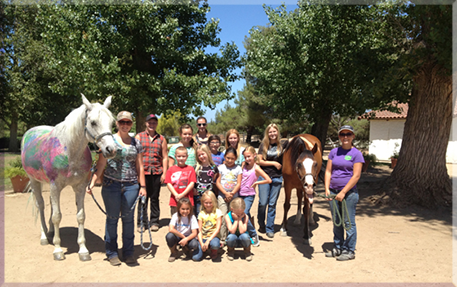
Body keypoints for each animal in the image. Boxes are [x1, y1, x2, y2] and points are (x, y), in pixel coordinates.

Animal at [21, 94, 117, 260]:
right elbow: (57, 216)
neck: (70, 153)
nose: (111, 149)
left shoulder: (80, 187)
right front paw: (58, 250)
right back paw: (44, 237)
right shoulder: (55, 186)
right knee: (40, 205)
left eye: (111, 122)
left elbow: (80, 216)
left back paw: (51, 232)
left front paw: (83, 250)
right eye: (93, 122)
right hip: (34, 181)